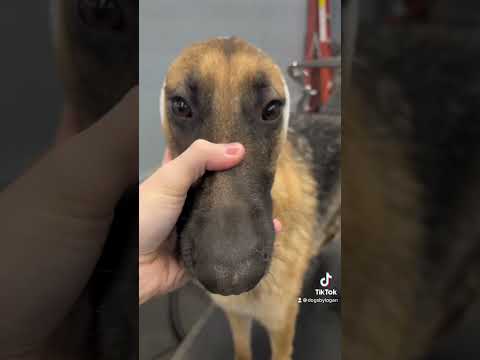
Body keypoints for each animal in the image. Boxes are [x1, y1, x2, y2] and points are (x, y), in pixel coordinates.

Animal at [159, 37, 340, 360]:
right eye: (180, 106)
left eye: (271, 109)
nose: (230, 278)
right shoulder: (237, 315)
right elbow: (242, 348)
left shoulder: (281, 328)